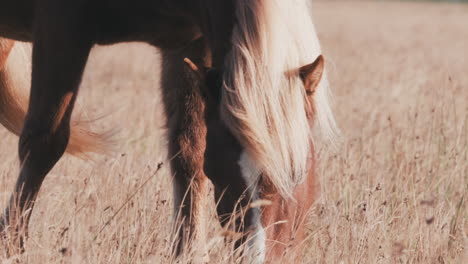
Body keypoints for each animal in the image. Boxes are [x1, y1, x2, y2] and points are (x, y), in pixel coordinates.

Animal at [0, 0, 336, 262]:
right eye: (221, 174)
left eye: (298, 172)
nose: (258, 258)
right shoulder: (62, 28)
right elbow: (44, 142)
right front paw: (12, 247)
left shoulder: (190, 45)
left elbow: (188, 153)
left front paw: (188, 253)